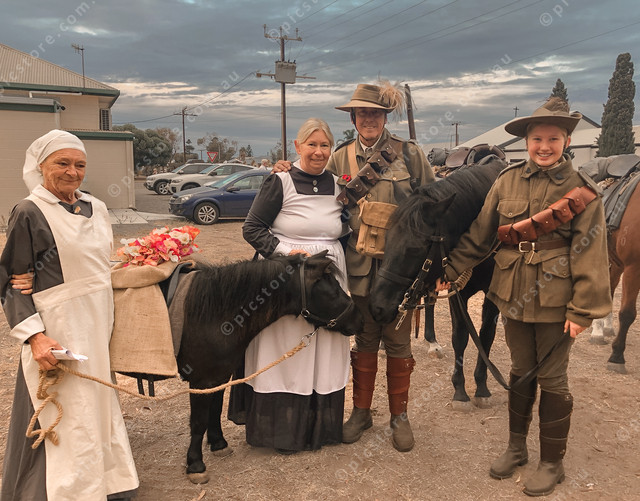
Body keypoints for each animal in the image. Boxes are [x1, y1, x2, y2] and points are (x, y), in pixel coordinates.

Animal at [174, 251, 363, 483]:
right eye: (333, 290)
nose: (360, 320)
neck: (213, 313)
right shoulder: (202, 380)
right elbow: (199, 421)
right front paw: (195, 464)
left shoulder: (217, 377)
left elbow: (215, 409)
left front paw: (219, 444)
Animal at [369, 156, 507, 411]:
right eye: (387, 238)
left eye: (415, 248)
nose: (377, 306)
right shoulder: (457, 291)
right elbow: (460, 336)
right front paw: (460, 391)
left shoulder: (493, 294)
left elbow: (486, 335)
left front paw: (481, 387)